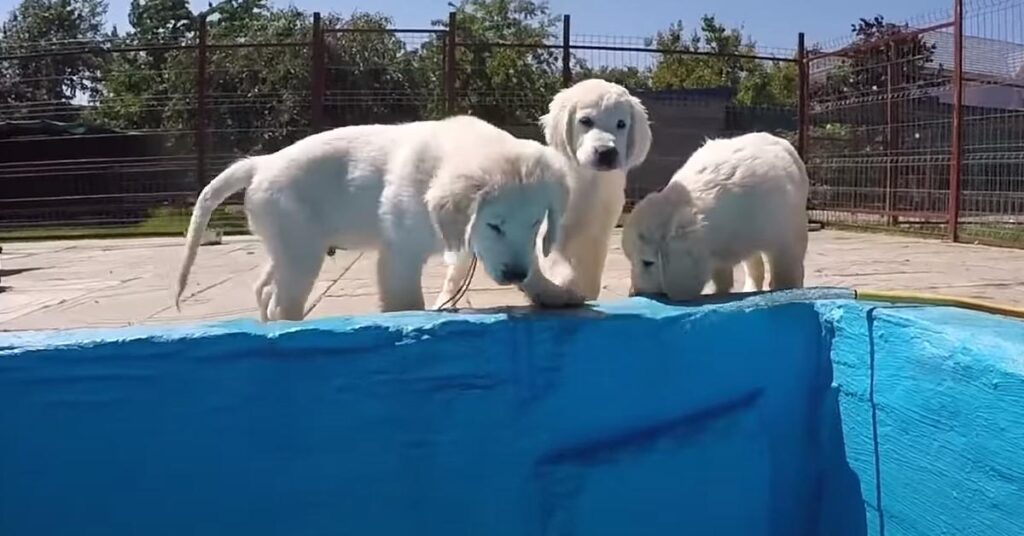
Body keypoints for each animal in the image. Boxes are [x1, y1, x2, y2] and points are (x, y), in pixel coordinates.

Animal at [176, 114, 585, 321]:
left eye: (534, 225)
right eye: (494, 224)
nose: (513, 274)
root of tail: (262, 162)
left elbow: (532, 267)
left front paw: (553, 293)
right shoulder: (400, 252)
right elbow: (405, 300)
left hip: (288, 243)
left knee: (263, 288)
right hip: (300, 250)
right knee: (282, 302)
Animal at [540, 77, 651, 299]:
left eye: (621, 124)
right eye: (585, 121)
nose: (606, 152)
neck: (590, 181)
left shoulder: (598, 234)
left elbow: (592, 277)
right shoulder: (553, 231)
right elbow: (557, 264)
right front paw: (563, 285)